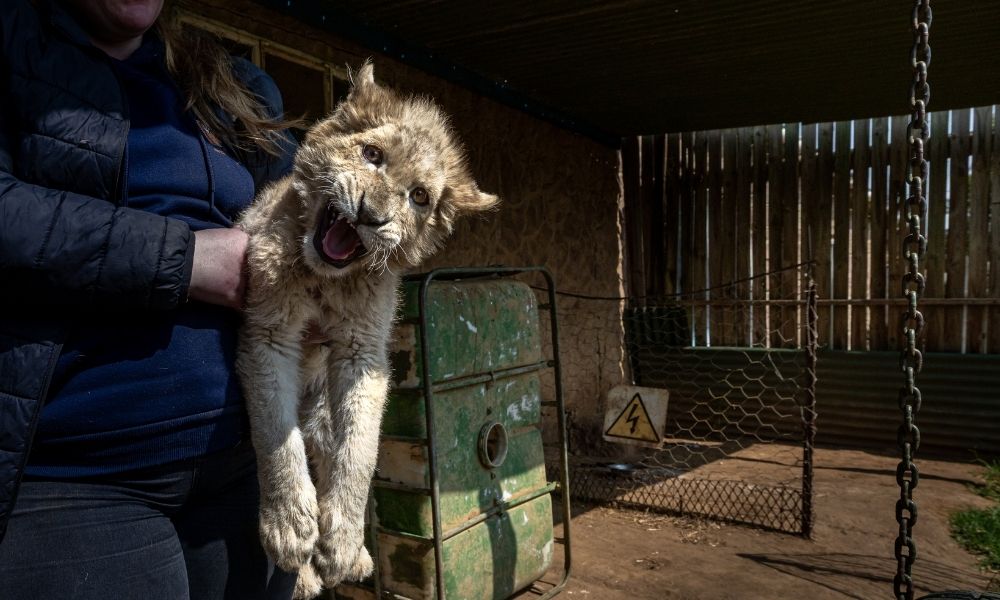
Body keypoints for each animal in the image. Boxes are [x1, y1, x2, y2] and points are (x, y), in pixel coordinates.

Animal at [236, 62, 499, 599]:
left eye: (419, 197)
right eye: (371, 155)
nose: (370, 215)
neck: (325, 279)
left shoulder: (364, 353)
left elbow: (360, 453)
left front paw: (341, 542)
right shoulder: (268, 334)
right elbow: (275, 434)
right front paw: (289, 527)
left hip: (321, 412)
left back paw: (352, 558)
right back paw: (303, 575)